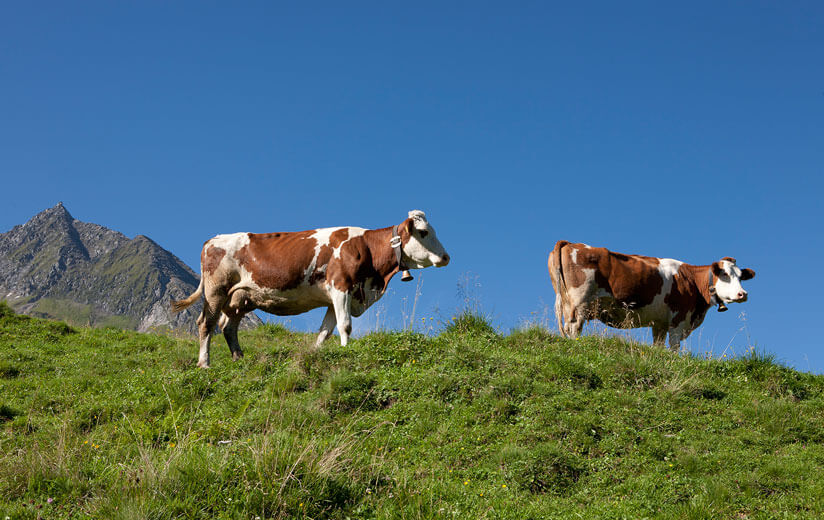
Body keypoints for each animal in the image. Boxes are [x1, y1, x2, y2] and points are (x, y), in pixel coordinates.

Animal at [173, 209, 450, 368]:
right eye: (423, 232)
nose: (446, 257)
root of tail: (213, 239)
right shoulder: (341, 286)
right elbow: (345, 326)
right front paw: (346, 352)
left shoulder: (335, 297)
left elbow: (325, 332)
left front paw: (315, 355)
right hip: (216, 290)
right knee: (206, 323)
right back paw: (204, 364)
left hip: (241, 297)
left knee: (228, 326)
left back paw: (239, 359)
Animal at [548, 242, 752, 352]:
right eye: (724, 274)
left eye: (741, 276)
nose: (743, 294)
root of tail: (570, 243)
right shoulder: (678, 319)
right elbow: (674, 347)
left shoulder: (659, 324)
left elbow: (658, 346)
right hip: (580, 302)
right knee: (574, 328)